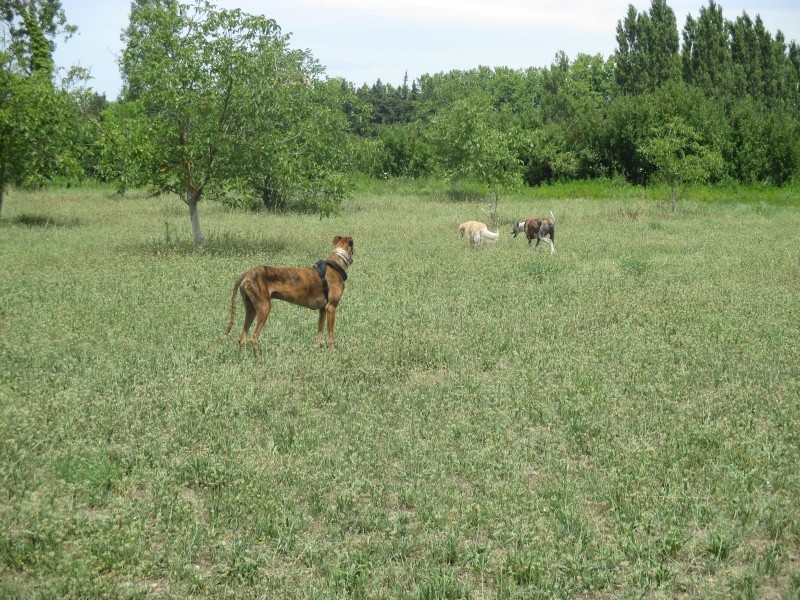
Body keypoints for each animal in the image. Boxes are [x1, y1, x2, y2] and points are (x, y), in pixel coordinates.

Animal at [220, 237, 354, 354]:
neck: (336, 263)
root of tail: (246, 273)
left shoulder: (322, 310)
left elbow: (319, 335)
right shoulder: (331, 308)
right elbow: (330, 337)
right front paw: (332, 353)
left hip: (251, 309)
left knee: (242, 338)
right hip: (264, 308)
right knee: (254, 338)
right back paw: (258, 359)